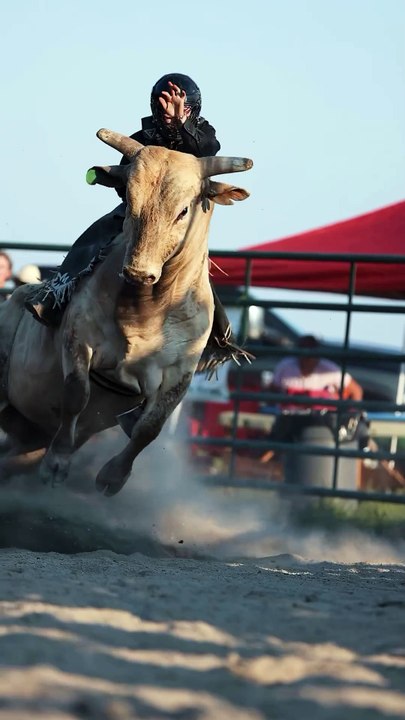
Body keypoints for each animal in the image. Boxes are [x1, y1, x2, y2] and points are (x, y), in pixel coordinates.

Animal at [0, 129, 252, 495]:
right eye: (129, 201)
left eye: (184, 210)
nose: (138, 271)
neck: (148, 311)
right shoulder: (79, 339)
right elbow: (77, 394)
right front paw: (57, 463)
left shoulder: (181, 373)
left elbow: (150, 427)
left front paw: (112, 476)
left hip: (28, 437)